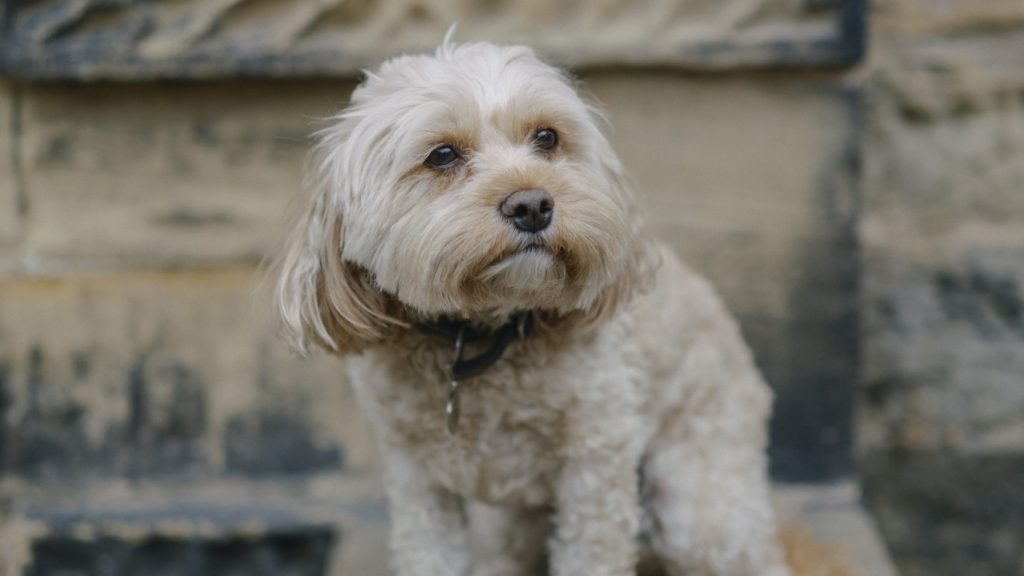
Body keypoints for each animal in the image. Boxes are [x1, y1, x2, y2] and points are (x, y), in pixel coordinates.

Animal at [276, 40, 794, 573]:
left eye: (547, 137)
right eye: (442, 155)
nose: (531, 205)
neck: (483, 338)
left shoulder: (597, 461)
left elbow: (592, 555)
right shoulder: (416, 478)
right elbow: (427, 553)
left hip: (698, 508)